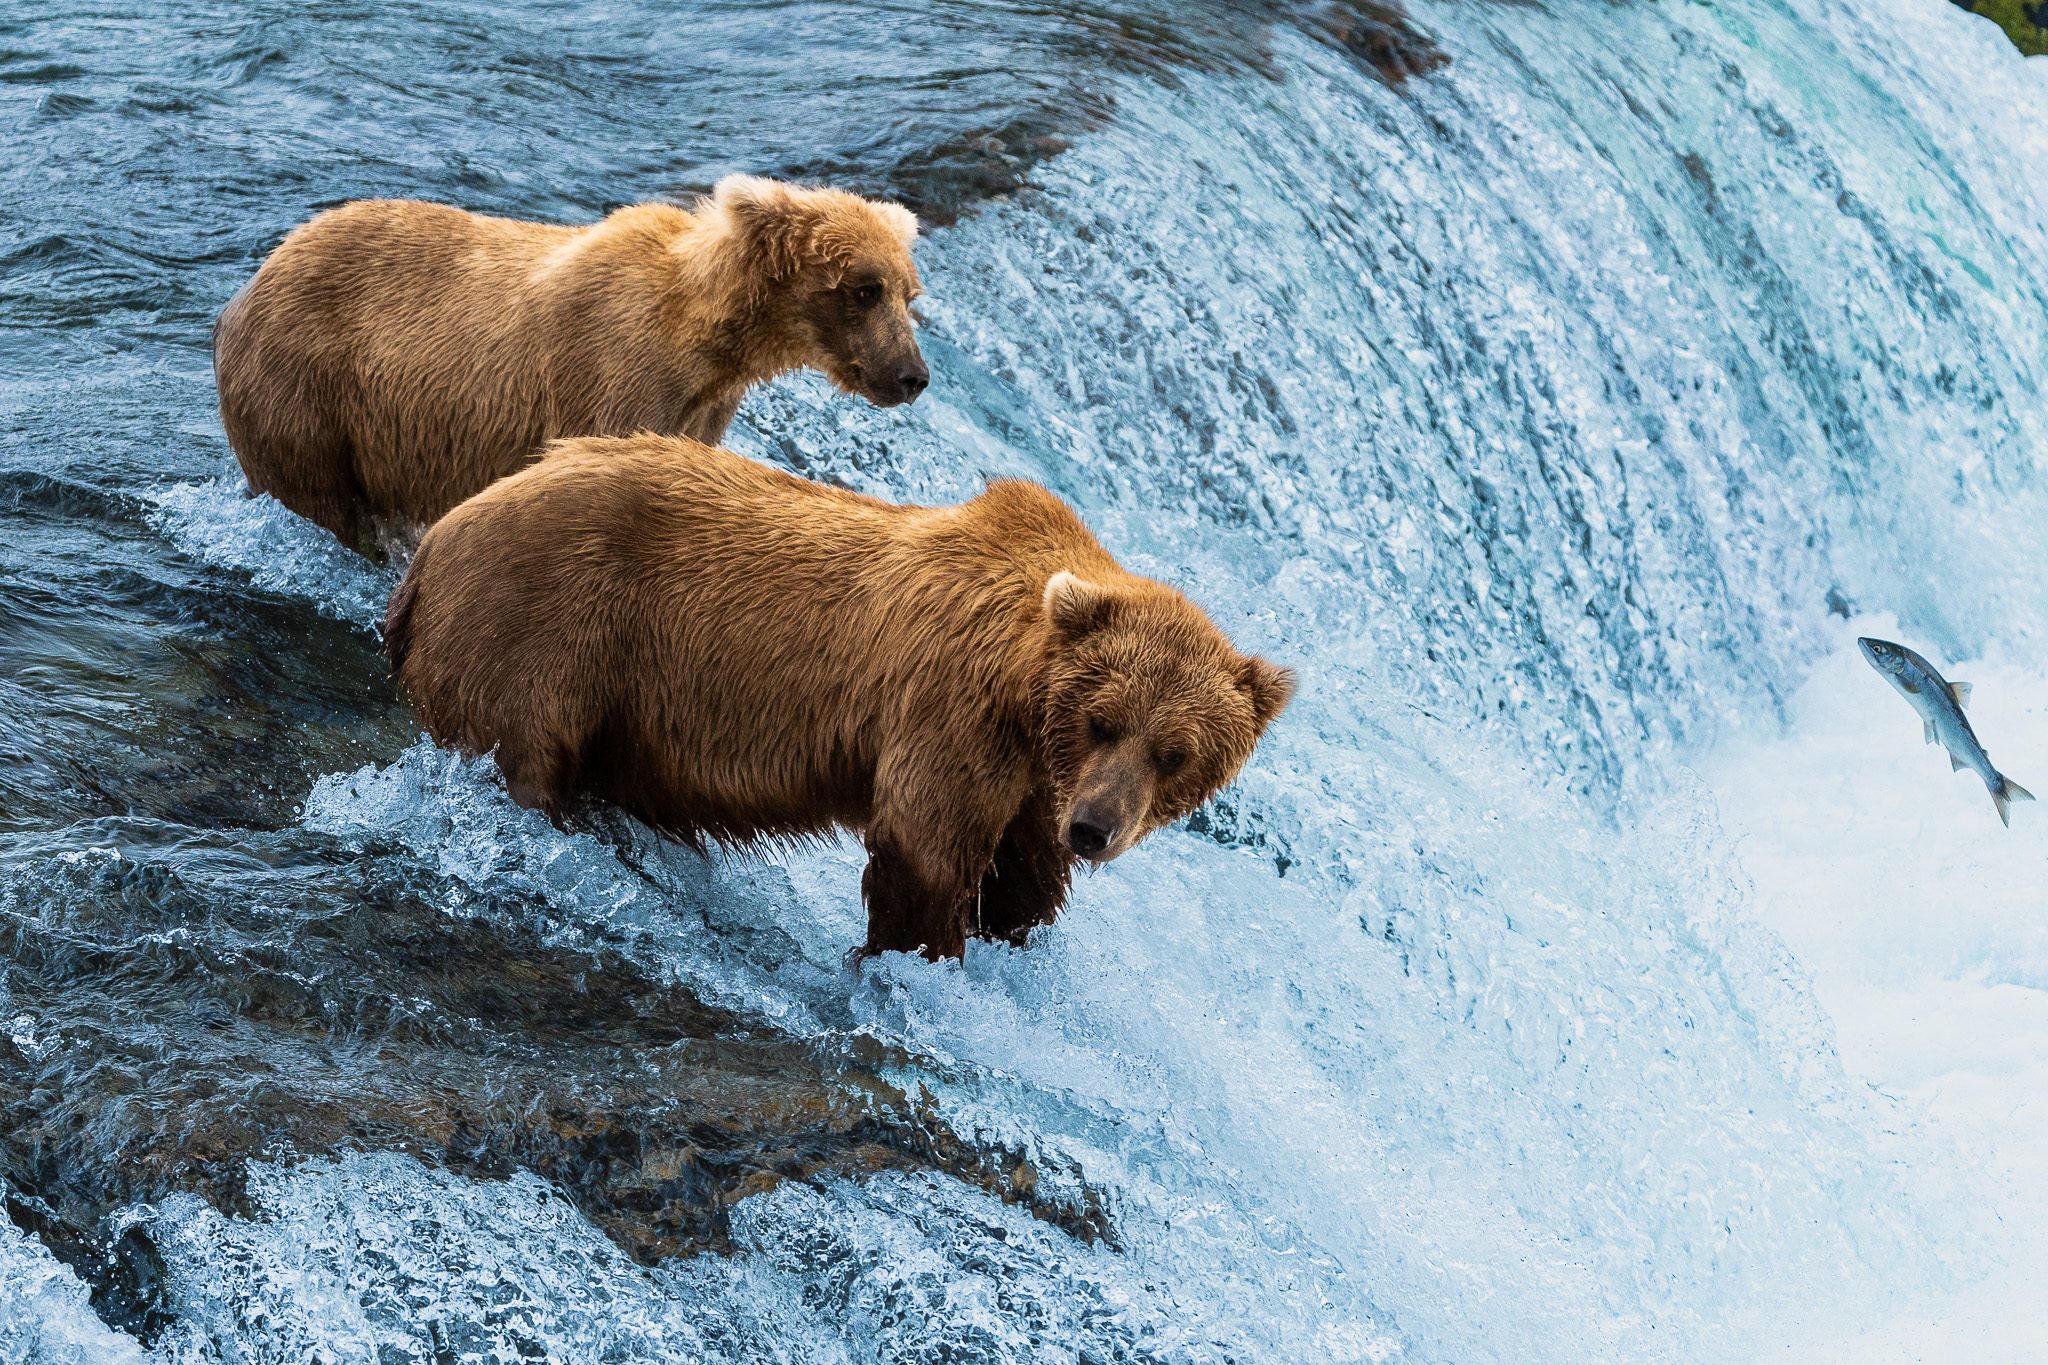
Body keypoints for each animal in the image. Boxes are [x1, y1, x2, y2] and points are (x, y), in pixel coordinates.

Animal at [214, 175, 928, 550]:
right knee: (318, 496)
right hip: (307, 389)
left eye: (909, 292)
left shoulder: (701, 406)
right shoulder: (614, 371)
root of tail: (247, 287)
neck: (708, 341)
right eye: (864, 288)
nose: (913, 376)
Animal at [383, 434, 1296, 960]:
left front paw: (1010, 934)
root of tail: (436, 540)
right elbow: (923, 848)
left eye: (1175, 752)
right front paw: (923, 956)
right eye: (1103, 720)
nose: (1096, 829)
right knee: (522, 754)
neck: (1024, 689)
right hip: (542, 630)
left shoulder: (1034, 782)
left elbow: (1022, 876)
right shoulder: (951, 711)